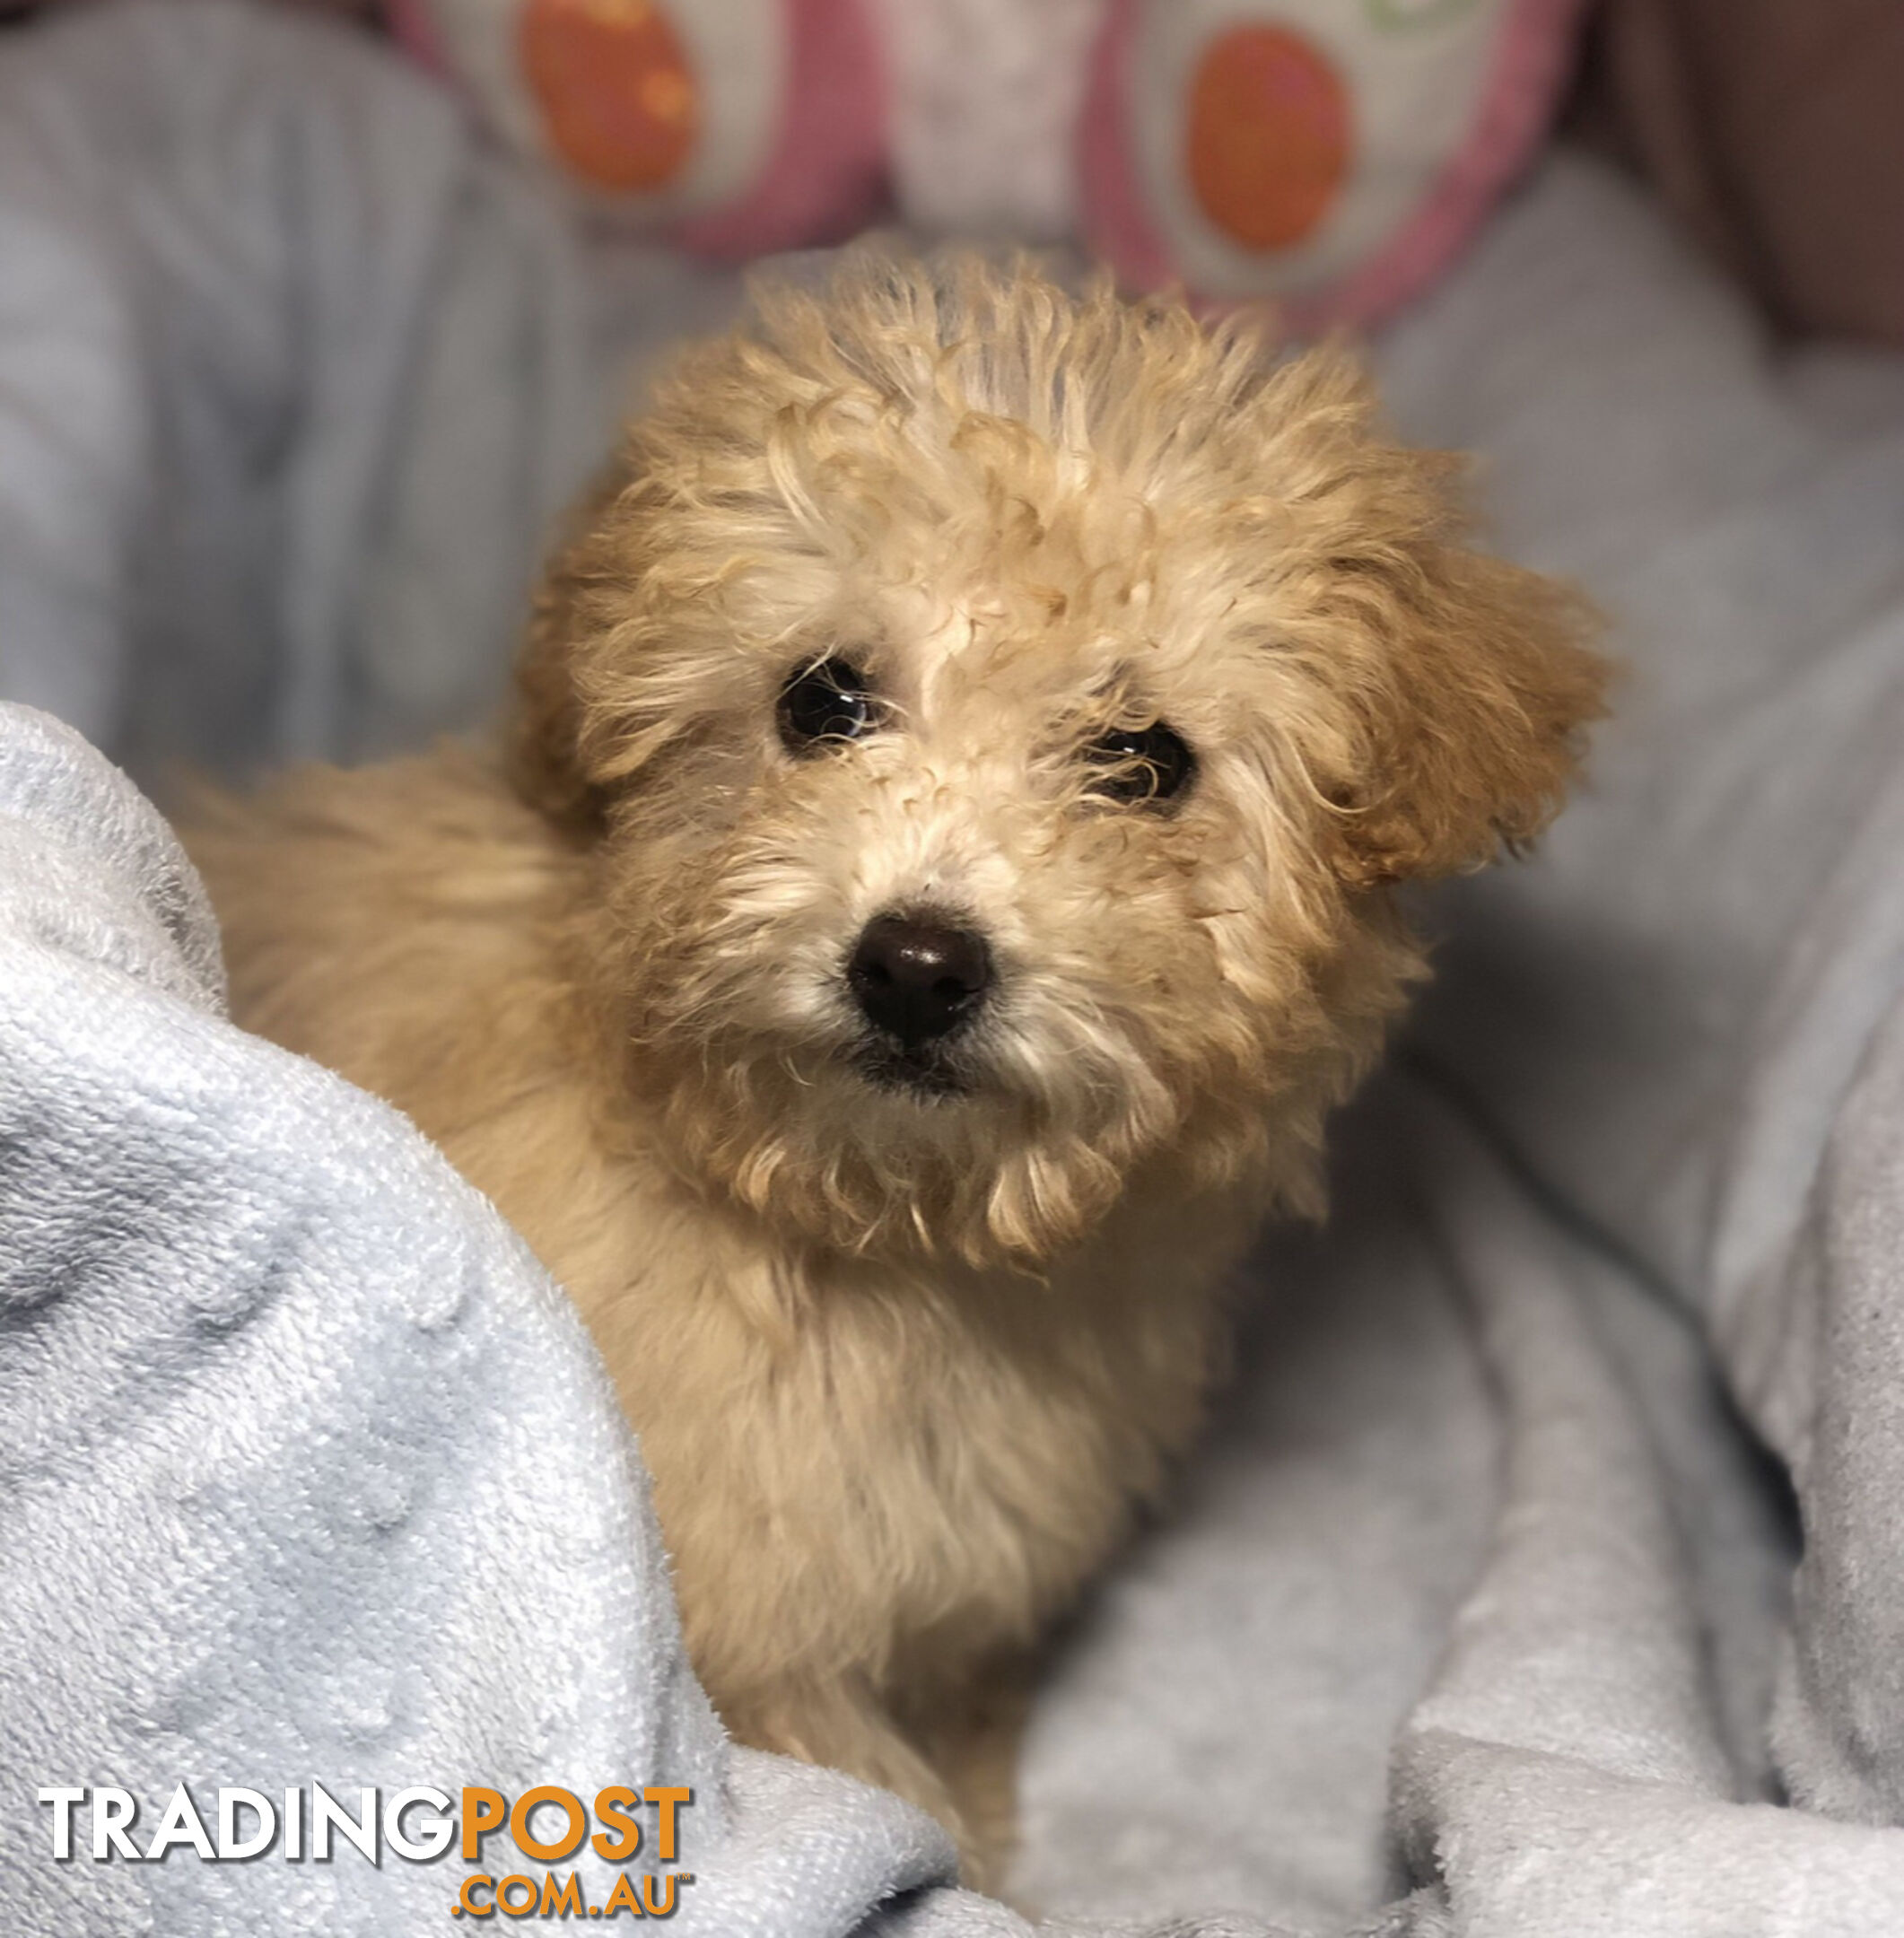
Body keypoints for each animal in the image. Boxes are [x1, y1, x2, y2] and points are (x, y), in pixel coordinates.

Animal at [186, 249, 1605, 1883]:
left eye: (1144, 761)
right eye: (819, 700)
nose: (916, 966)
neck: (867, 1228)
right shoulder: (734, 1624)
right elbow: (848, 1780)